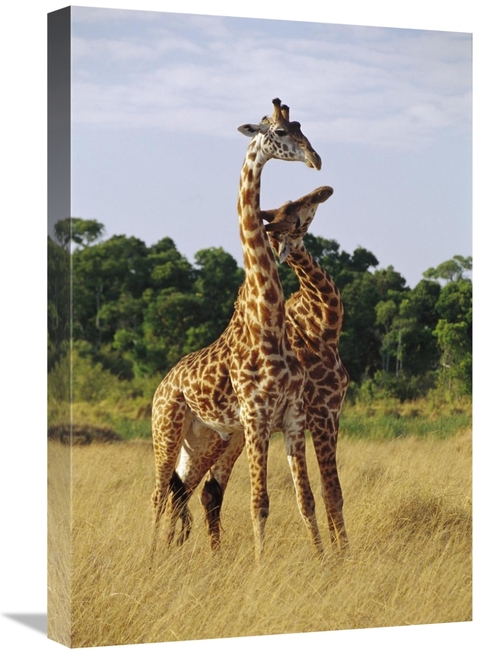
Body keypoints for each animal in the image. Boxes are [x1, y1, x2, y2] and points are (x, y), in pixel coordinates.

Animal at [151, 98, 323, 562]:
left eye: (301, 126)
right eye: (279, 132)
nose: (315, 159)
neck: (268, 324)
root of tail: (162, 385)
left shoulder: (292, 418)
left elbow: (306, 499)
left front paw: (325, 562)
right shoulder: (258, 417)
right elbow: (259, 502)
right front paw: (261, 567)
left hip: (208, 439)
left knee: (184, 492)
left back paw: (181, 554)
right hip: (167, 429)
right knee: (159, 492)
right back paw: (151, 557)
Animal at [171, 185, 350, 553]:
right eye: (293, 209)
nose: (323, 190)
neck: (323, 326)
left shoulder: (331, 412)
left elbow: (326, 493)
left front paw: (335, 552)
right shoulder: (322, 412)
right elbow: (332, 492)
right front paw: (342, 556)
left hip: (223, 438)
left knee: (200, 490)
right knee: (190, 490)